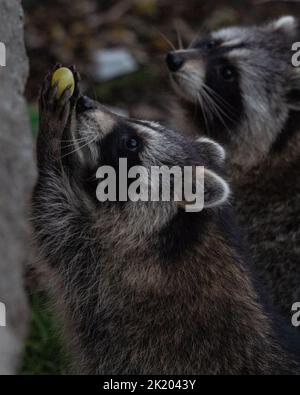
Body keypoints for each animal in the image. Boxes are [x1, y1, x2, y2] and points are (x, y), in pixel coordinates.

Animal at [29, 67, 300, 374]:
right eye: (138, 122)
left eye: (132, 142)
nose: (85, 102)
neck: (177, 231)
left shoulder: (108, 263)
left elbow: (52, 214)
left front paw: (53, 134)